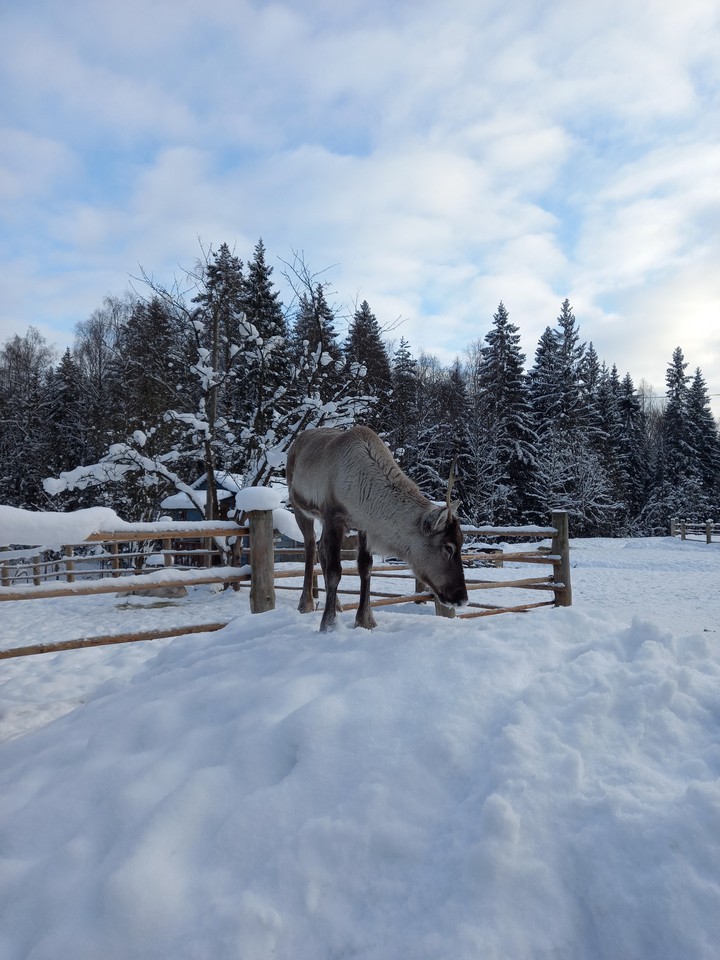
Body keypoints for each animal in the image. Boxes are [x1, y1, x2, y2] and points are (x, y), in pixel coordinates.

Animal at [286, 425, 468, 631]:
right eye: (448, 547)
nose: (462, 598)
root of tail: (298, 441)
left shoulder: (365, 526)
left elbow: (365, 568)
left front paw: (365, 620)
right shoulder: (333, 516)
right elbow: (335, 571)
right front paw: (328, 624)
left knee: (321, 548)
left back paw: (338, 604)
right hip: (299, 506)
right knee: (310, 546)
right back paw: (306, 603)